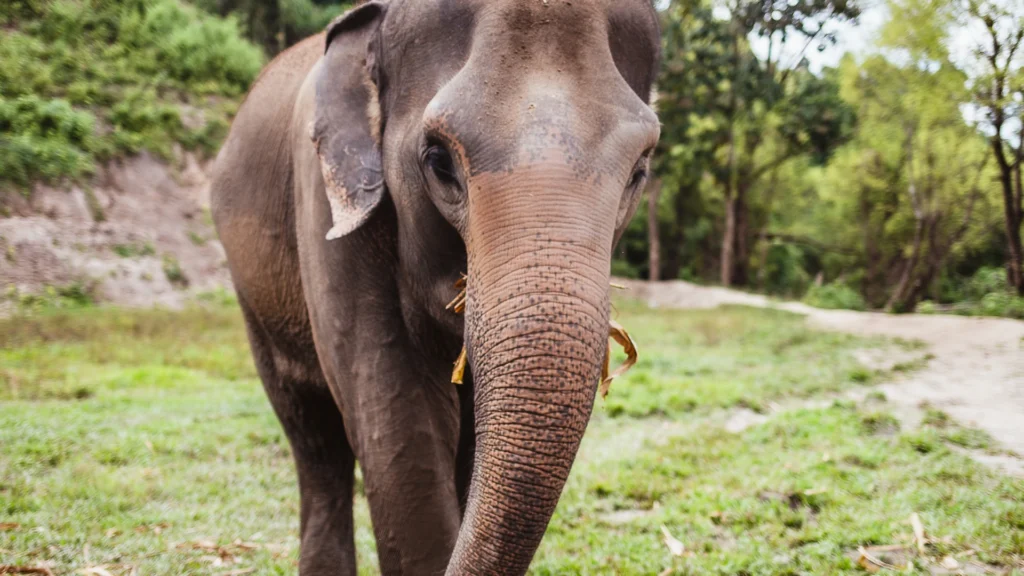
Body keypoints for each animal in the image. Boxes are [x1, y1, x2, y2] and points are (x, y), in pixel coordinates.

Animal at [210, 1, 659, 569]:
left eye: (638, 171)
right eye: (439, 161)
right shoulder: (325, 206)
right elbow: (400, 421)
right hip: (253, 295)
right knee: (313, 437)